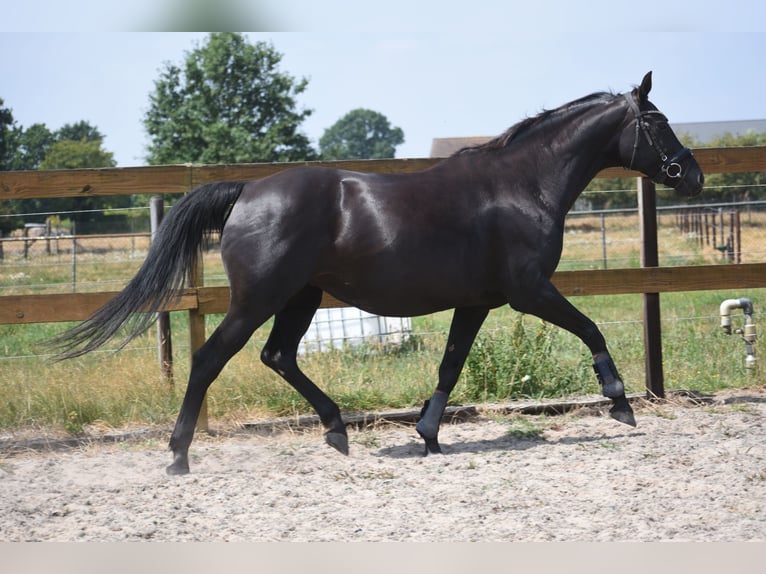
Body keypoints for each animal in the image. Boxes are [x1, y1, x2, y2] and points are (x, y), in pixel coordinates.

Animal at [51, 72, 703, 475]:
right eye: (659, 121)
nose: (693, 175)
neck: (523, 185)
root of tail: (248, 192)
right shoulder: (528, 292)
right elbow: (591, 327)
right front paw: (620, 402)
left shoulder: (478, 301)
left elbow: (450, 365)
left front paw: (429, 435)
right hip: (260, 298)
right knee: (212, 358)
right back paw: (179, 456)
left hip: (301, 297)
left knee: (278, 357)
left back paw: (336, 429)